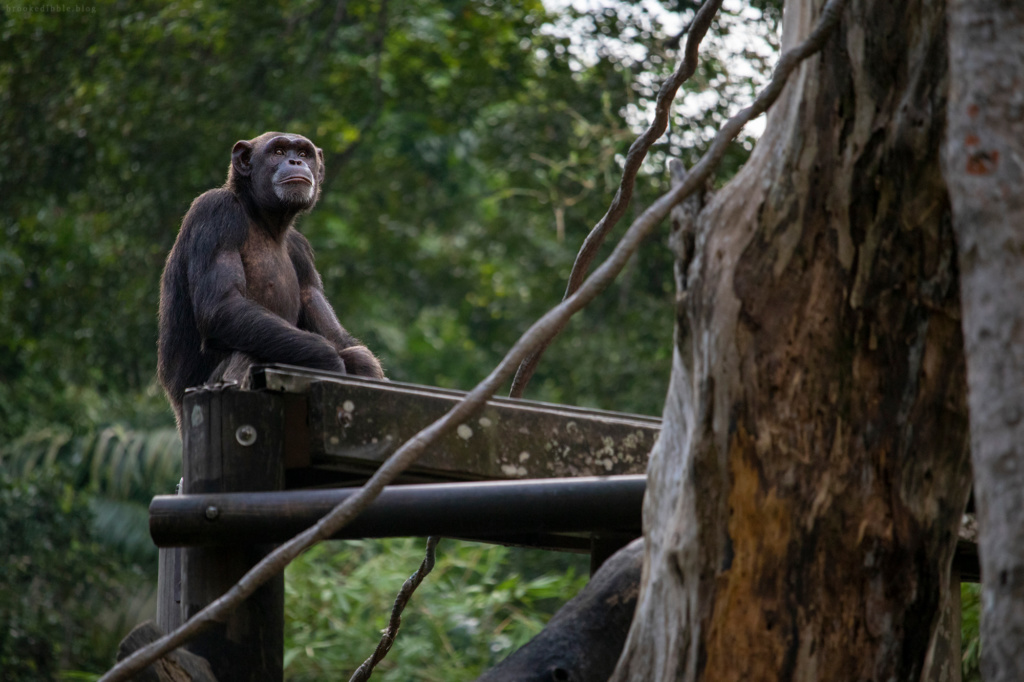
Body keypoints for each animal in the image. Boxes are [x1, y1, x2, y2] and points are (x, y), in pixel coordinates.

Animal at [157, 130, 382, 428]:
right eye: (278, 152)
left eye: (304, 152)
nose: (296, 161)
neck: (264, 218)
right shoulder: (216, 212)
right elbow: (223, 305)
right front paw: (330, 365)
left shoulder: (301, 251)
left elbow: (330, 329)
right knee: (247, 351)